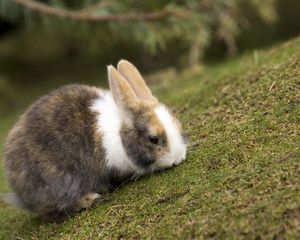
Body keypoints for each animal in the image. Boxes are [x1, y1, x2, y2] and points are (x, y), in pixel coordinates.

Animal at [2, 59, 188, 216]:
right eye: (153, 139)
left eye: (178, 125)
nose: (178, 158)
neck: (120, 134)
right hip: (59, 182)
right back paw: (90, 199)